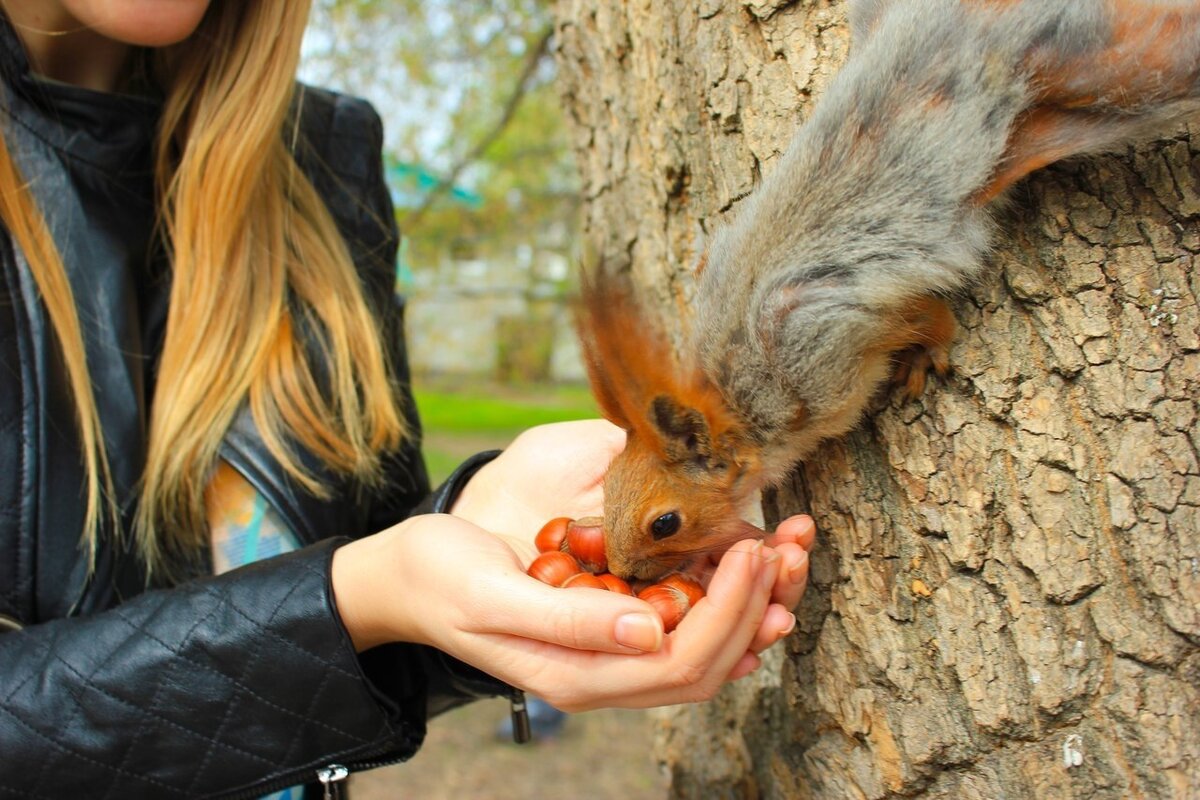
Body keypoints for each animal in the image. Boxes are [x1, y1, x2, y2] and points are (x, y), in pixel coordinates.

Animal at [578, 0, 1200, 578]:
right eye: (605, 485)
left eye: (665, 523)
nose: (623, 572)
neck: (740, 397)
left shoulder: (831, 343)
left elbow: (925, 317)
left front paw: (928, 354)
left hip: (1101, 84)